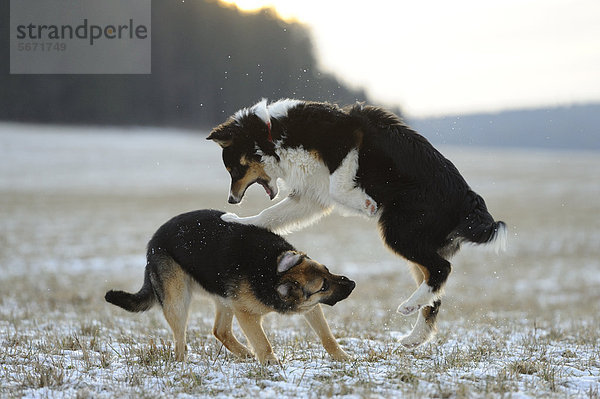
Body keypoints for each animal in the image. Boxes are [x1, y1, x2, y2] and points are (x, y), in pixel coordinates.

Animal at [105, 211, 354, 364]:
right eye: (324, 286)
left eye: (327, 269)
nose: (352, 284)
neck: (271, 273)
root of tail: (153, 242)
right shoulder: (247, 314)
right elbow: (262, 342)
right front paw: (271, 362)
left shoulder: (310, 308)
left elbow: (327, 336)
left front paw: (342, 357)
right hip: (178, 301)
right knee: (181, 340)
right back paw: (182, 362)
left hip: (223, 297)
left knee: (220, 330)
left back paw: (243, 353)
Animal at [207, 98, 506, 348]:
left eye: (235, 168)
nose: (232, 200)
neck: (273, 134)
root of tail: (470, 203)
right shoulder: (310, 196)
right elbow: (271, 215)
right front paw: (237, 220)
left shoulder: (347, 142)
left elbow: (339, 184)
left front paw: (365, 203)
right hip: (416, 241)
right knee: (435, 287)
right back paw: (414, 337)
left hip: (398, 230)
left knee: (442, 269)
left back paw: (408, 307)